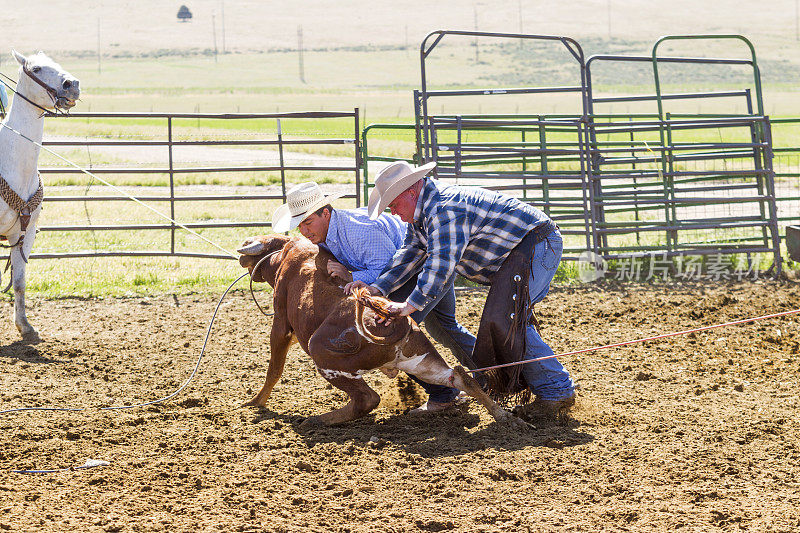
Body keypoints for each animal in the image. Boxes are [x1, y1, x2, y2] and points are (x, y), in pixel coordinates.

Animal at [239, 235, 524, 426]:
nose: (242, 257)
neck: (286, 255)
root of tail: (395, 320)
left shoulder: (280, 323)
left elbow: (274, 368)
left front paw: (255, 403)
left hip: (323, 355)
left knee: (367, 399)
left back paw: (317, 420)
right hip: (420, 360)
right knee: (460, 377)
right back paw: (504, 416)